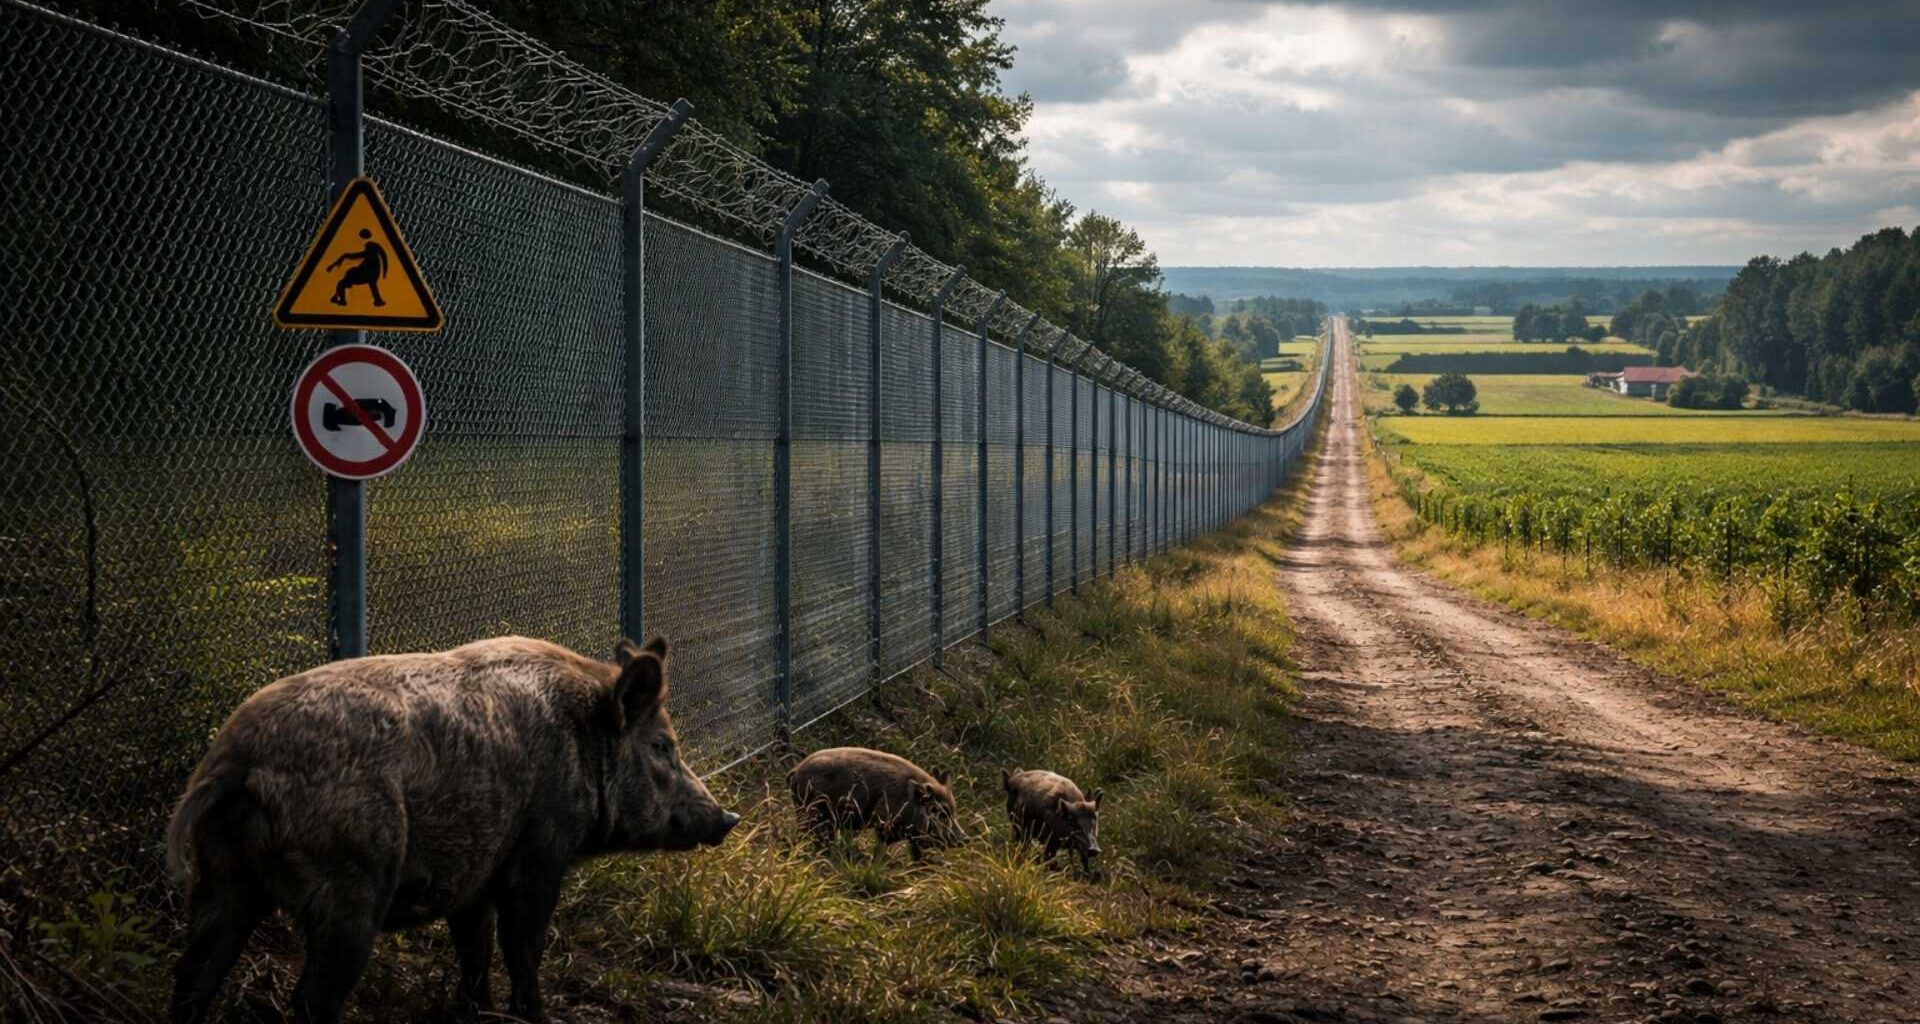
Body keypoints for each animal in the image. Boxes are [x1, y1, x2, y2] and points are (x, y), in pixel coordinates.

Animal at [164, 635, 737, 1024]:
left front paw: (476, 1011)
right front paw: (536, 1018)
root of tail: (238, 761)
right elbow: (523, 946)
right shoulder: (539, 854)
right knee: (312, 998)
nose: (728, 819)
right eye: (662, 746)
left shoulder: (476, 872)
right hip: (352, 877)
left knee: (193, 976)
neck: (585, 743)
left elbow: (474, 948)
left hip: (221, 878)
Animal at [788, 747, 964, 861]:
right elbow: (884, 843)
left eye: (953, 812)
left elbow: (915, 850)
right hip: (818, 812)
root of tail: (796, 770)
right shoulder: (884, 821)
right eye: (941, 814)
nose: (965, 838)